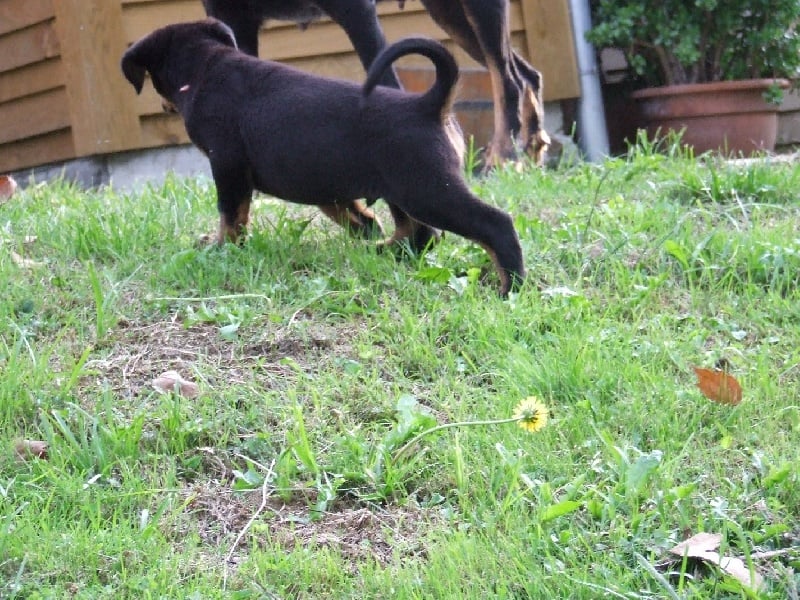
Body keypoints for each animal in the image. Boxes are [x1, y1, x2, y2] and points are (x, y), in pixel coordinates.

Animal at [120, 20, 524, 296]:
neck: (206, 67)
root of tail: (428, 105)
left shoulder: (227, 165)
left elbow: (230, 215)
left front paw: (221, 248)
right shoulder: (319, 179)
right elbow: (345, 209)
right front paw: (365, 228)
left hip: (428, 189)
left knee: (493, 224)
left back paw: (511, 287)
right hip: (402, 188)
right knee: (420, 233)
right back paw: (385, 251)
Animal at [200, 0, 552, 166]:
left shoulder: (356, 11)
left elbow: (389, 85)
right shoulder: (233, 18)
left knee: (507, 80)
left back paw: (503, 158)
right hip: (450, 13)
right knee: (527, 76)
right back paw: (531, 152)